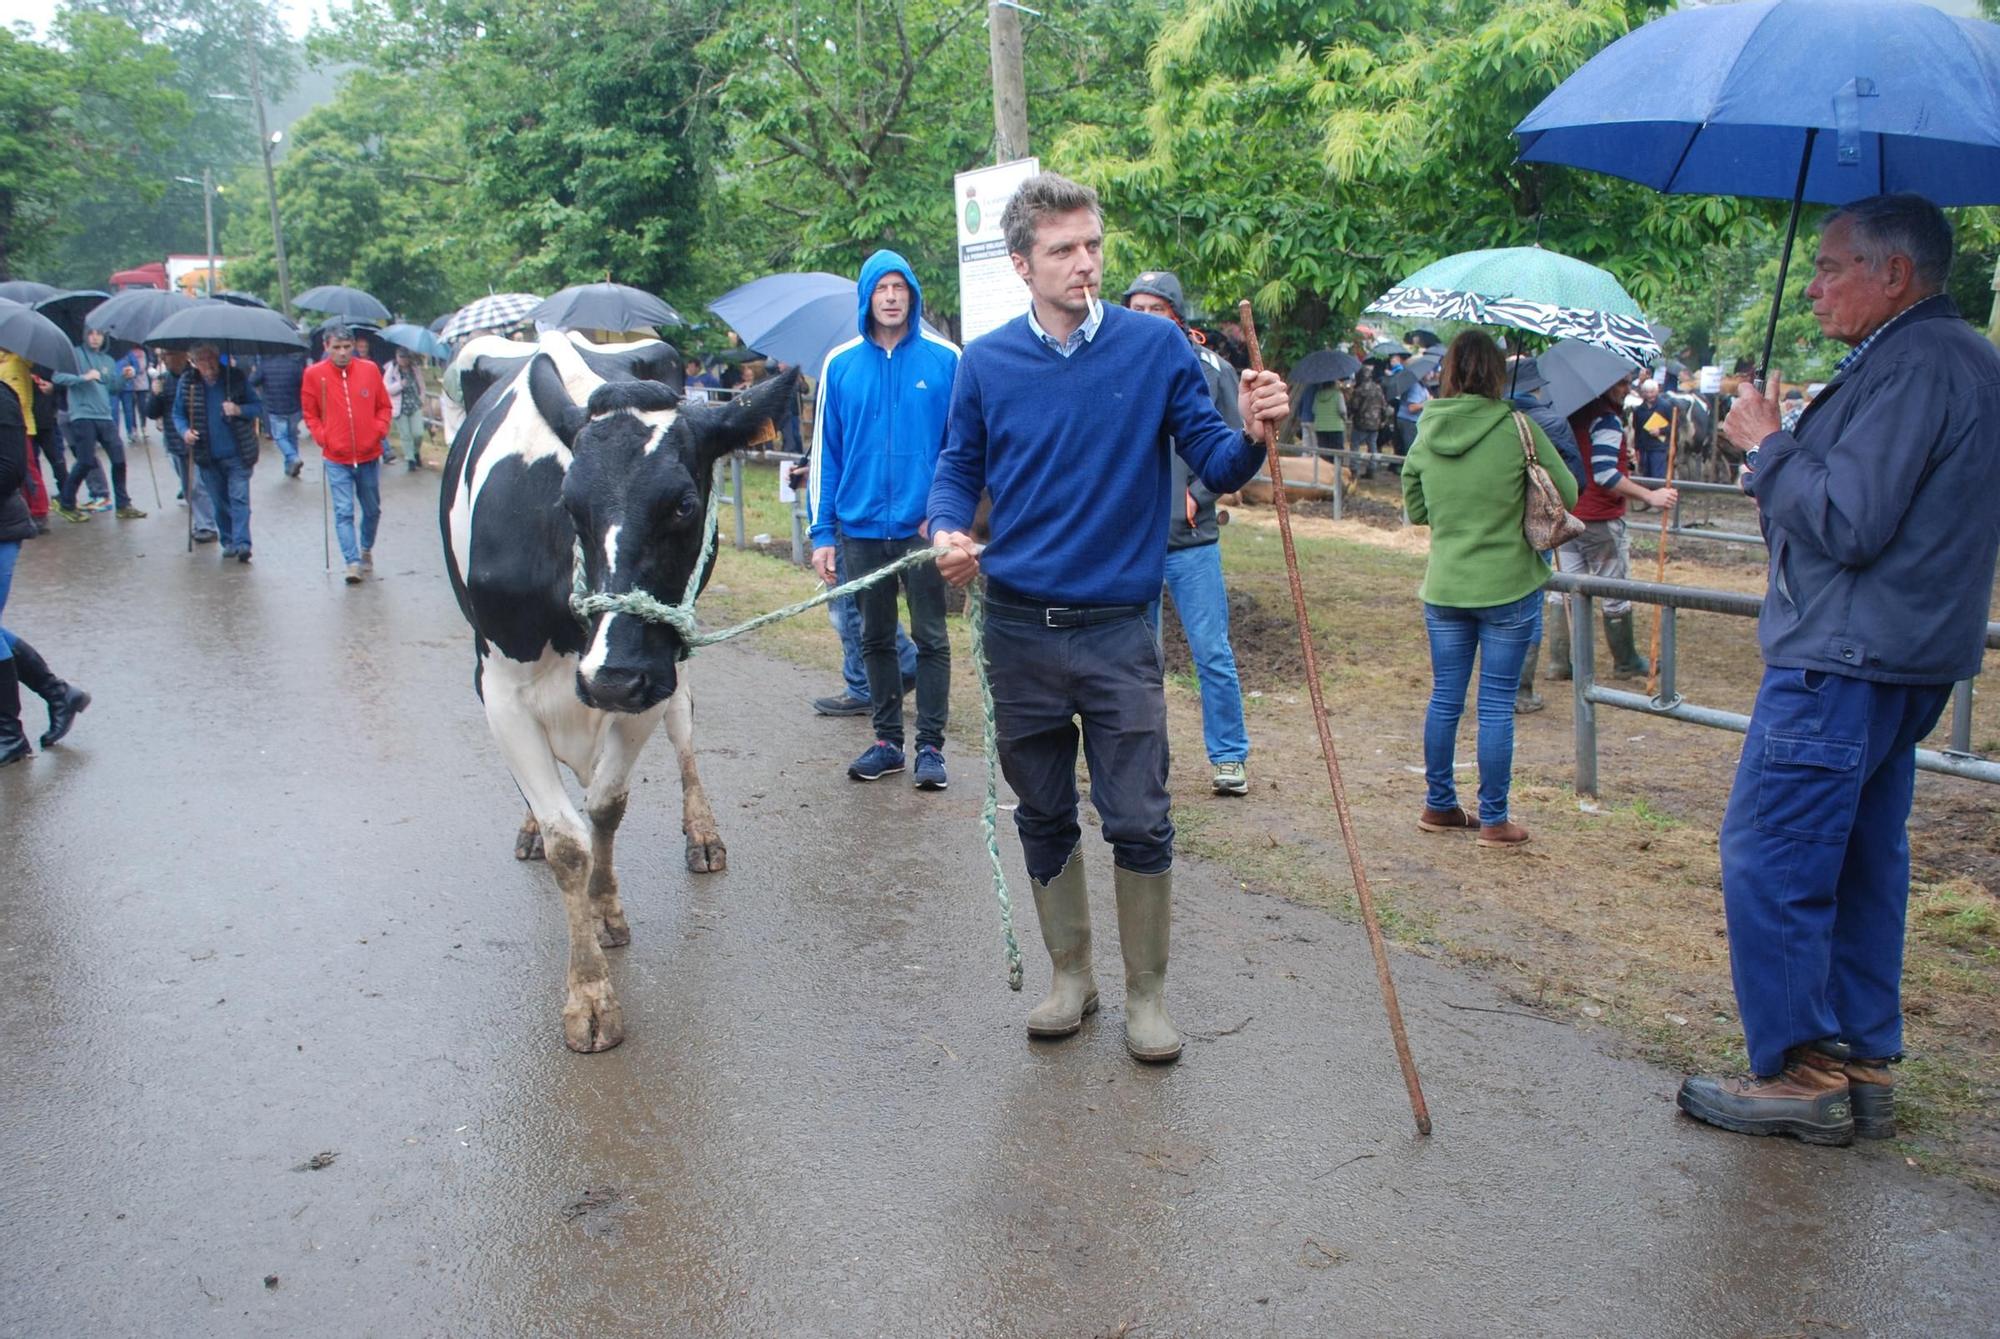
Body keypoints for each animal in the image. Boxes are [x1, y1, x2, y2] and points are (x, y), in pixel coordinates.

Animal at [442, 329, 800, 1055]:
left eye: (683, 504)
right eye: (569, 506)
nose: (610, 676)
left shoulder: (651, 677)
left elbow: (605, 808)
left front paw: (605, 911)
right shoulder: (498, 689)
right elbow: (566, 841)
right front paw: (589, 995)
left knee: (685, 729)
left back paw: (702, 835)